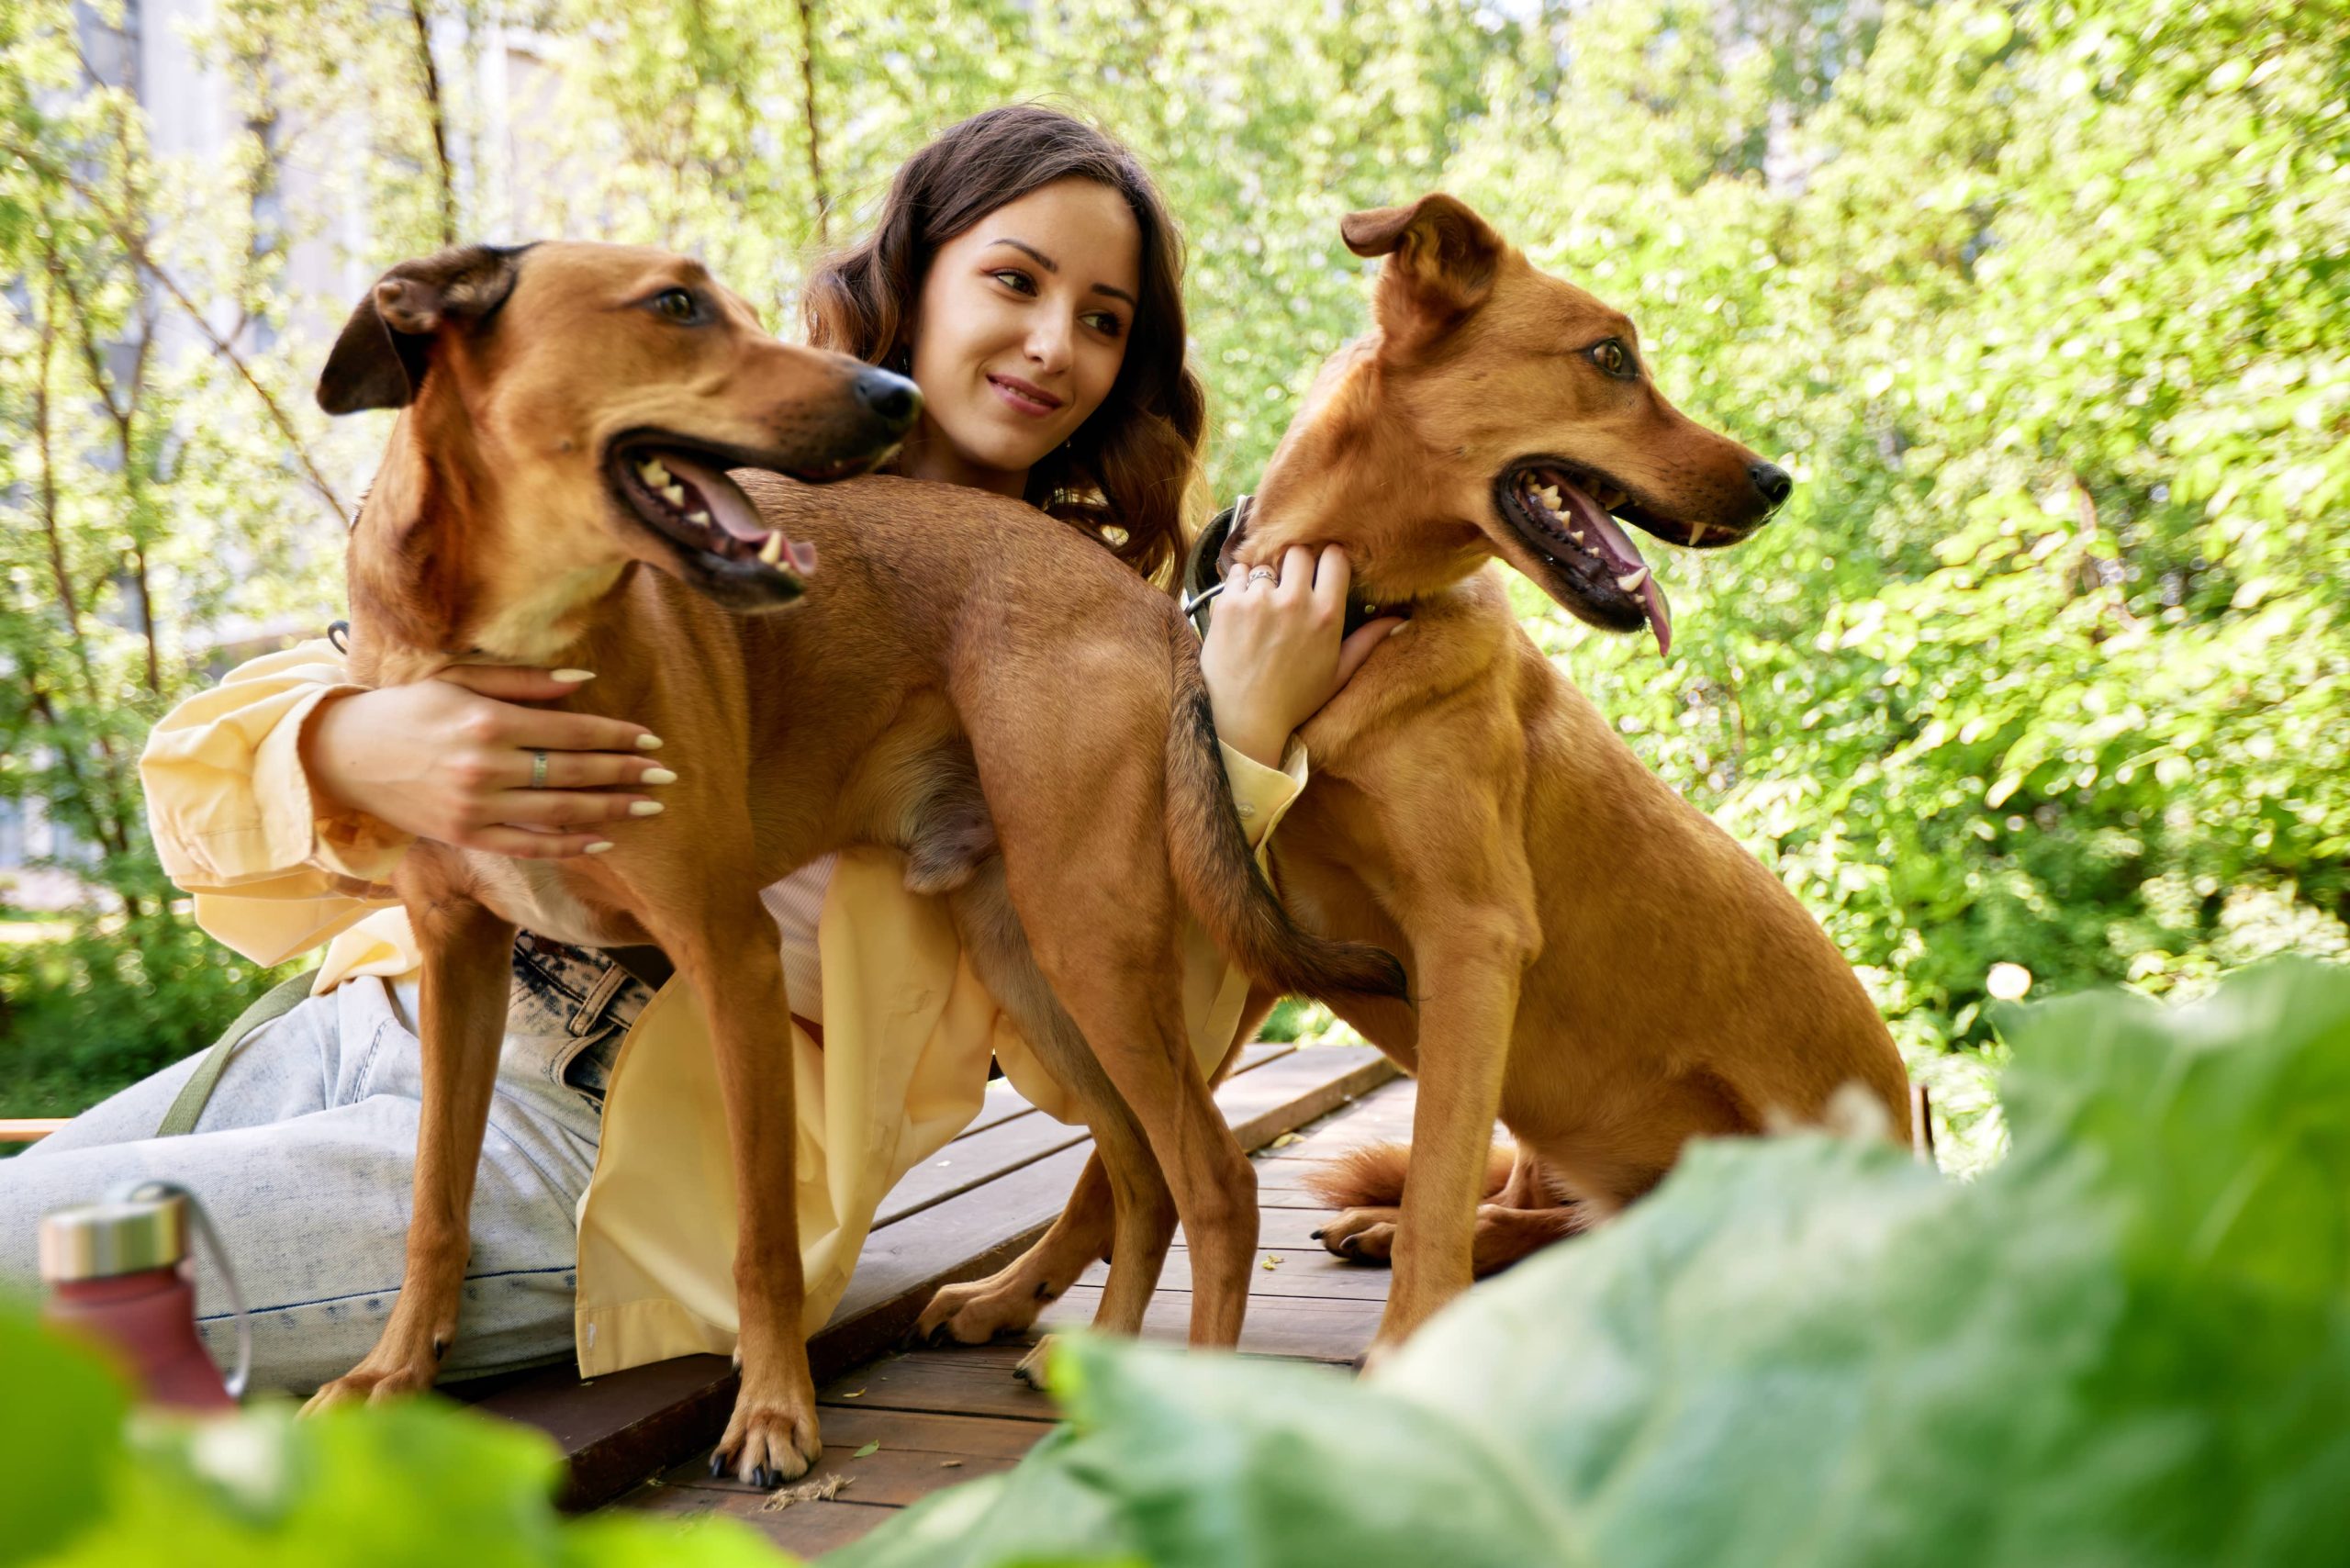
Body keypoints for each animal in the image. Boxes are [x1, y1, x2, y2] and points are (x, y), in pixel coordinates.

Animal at [294, 240, 1391, 1476]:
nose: (890, 395)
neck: (518, 645)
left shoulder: (728, 953)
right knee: (1144, 1173)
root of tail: (1142, 606)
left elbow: (762, 1233)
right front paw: (392, 1372)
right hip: (1032, 954)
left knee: (1214, 1181)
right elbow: (433, 1200)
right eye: (675, 305)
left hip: (1090, 943)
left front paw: (774, 1409)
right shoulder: (460, 960)